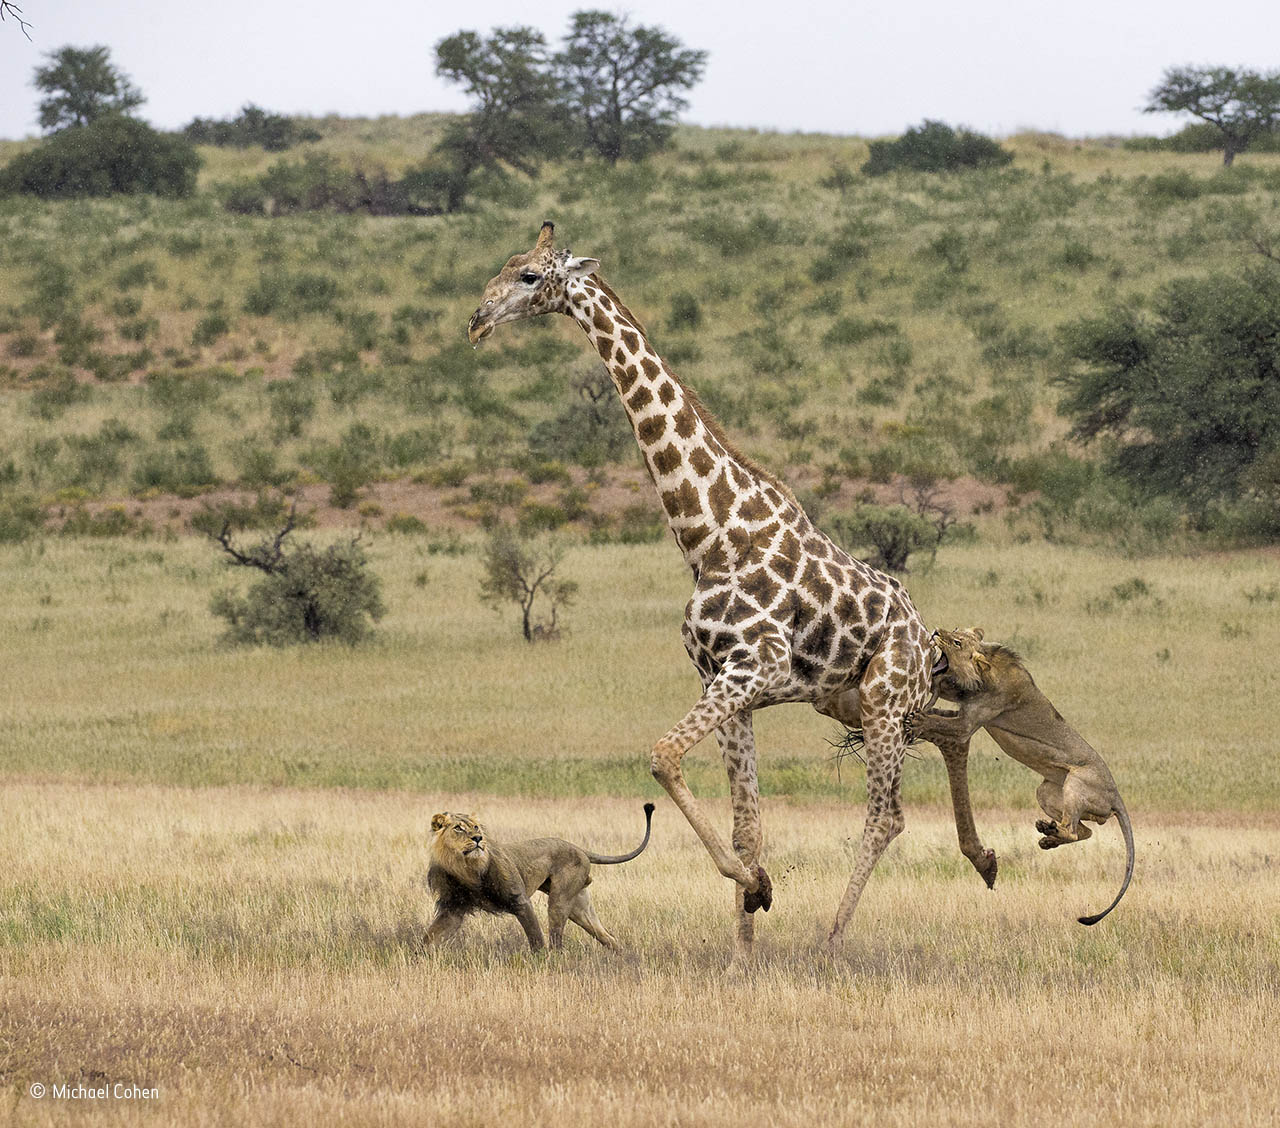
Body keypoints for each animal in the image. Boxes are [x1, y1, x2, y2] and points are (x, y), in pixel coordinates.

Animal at [424, 798, 655, 952]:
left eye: (475, 827)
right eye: (458, 828)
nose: (478, 838)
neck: (465, 868)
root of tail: (578, 848)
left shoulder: (520, 900)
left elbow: (535, 936)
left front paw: (539, 960)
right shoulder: (453, 908)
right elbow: (430, 936)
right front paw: (421, 957)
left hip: (560, 899)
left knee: (556, 939)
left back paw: (554, 959)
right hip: (580, 907)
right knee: (606, 936)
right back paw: (623, 957)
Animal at [465, 220, 936, 952]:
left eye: (530, 276)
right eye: (507, 263)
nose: (477, 318)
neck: (708, 534)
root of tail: (928, 640)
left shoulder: (751, 669)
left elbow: (662, 755)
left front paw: (755, 887)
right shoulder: (728, 682)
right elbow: (746, 823)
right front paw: (744, 943)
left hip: (885, 699)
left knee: (886, 814)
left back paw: (830, 939)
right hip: (847, 702)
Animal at [916, 624, 1136, 921]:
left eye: (957, 642)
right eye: (955, 630)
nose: (937, 631)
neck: (983, 674)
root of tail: (1116, 796)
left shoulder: (968, 724)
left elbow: (938, 722)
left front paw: (916, 720)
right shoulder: (962, 702)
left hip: (1077, 782)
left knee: (1074, 831)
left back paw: (1050, 831)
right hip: (1046, 791)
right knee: (1085, 831)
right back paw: (1048, 836)